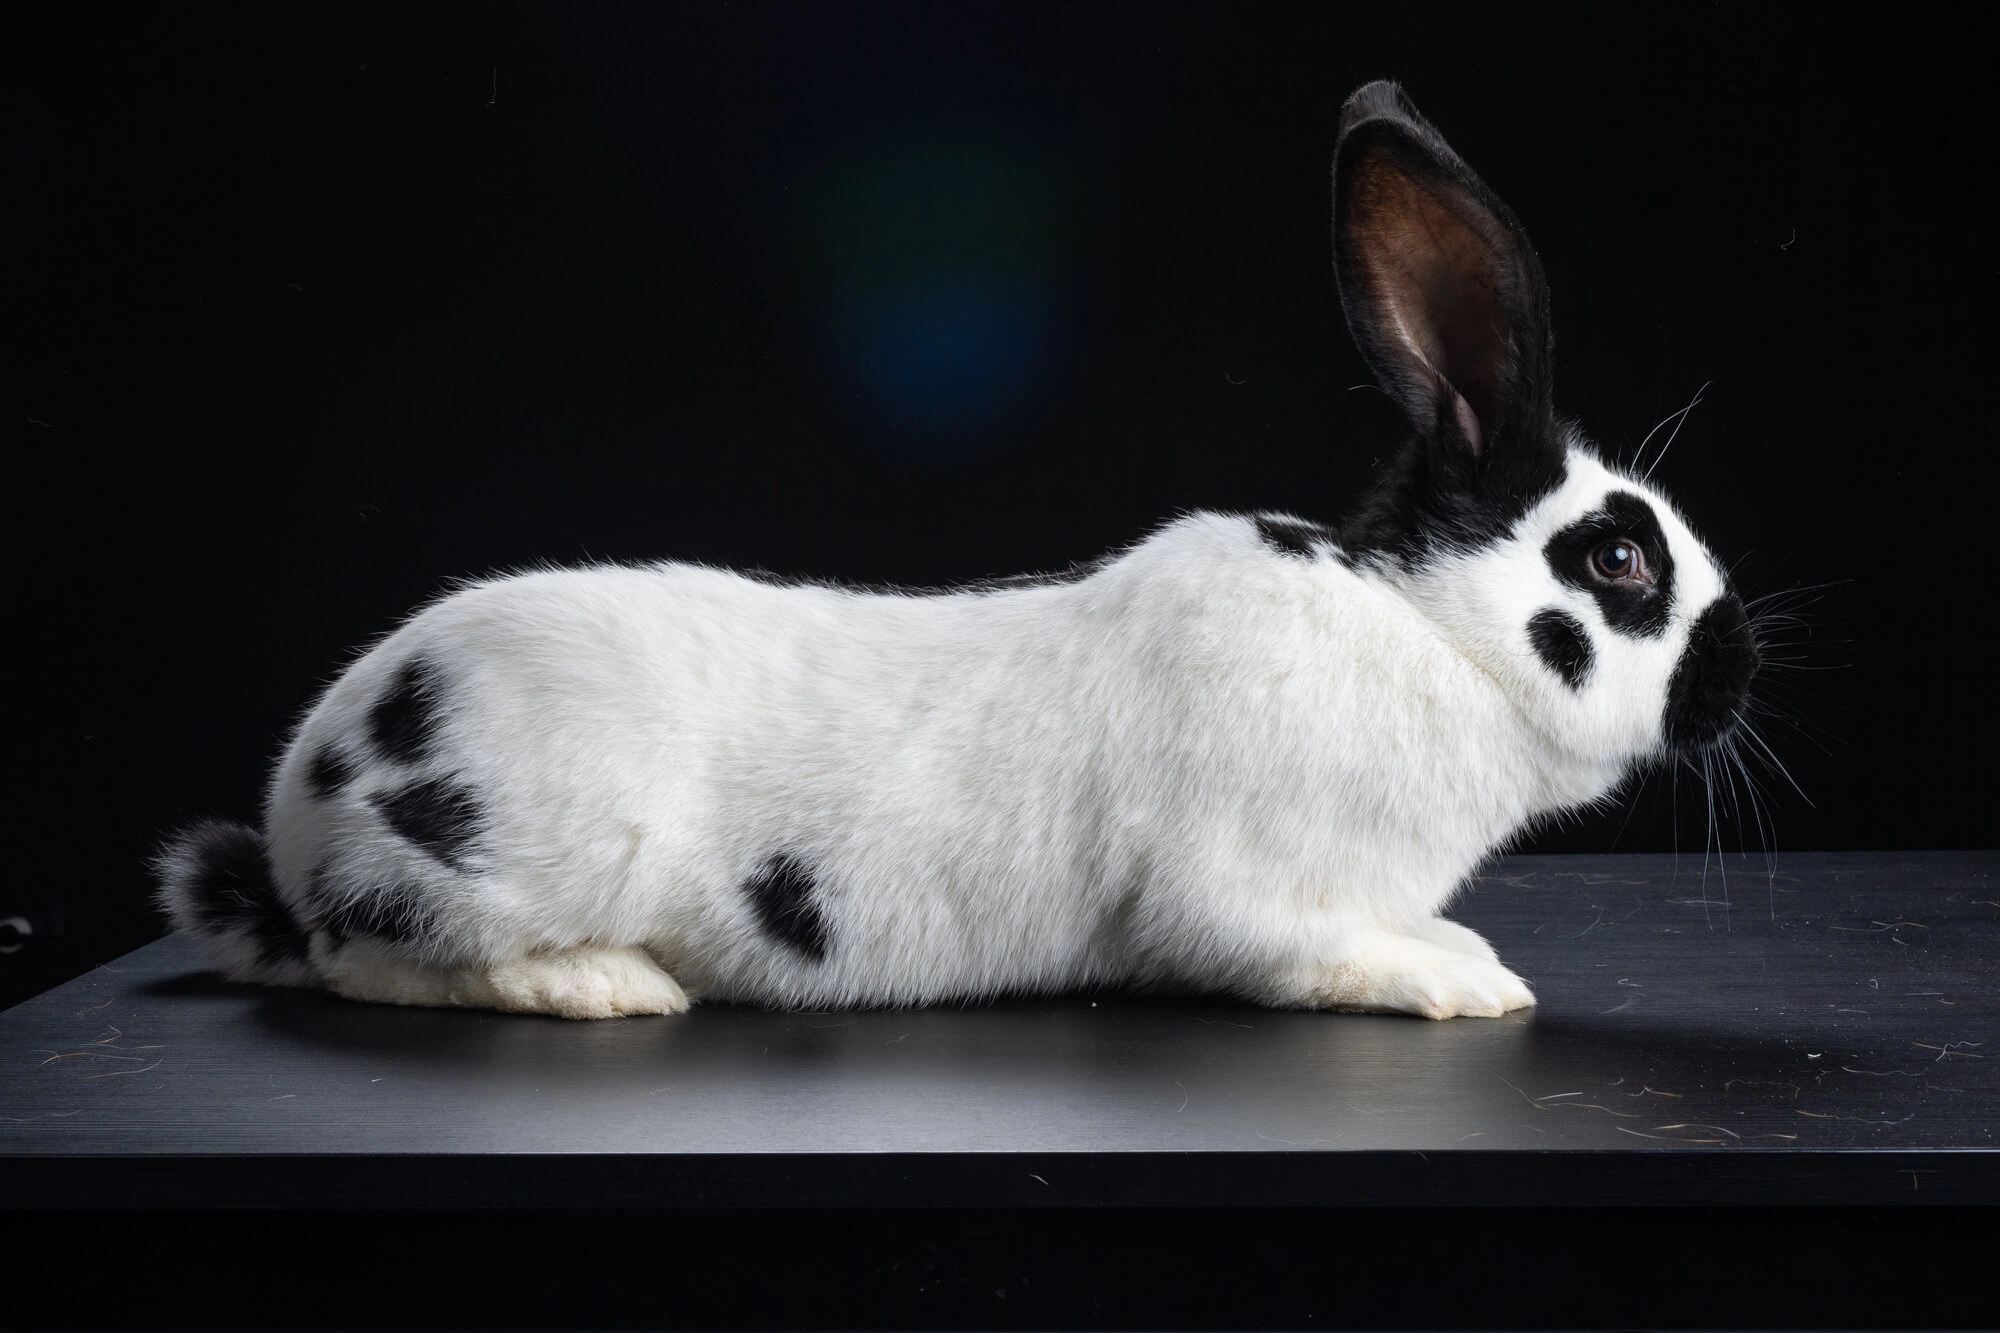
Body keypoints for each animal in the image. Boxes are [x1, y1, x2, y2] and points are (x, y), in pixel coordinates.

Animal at [155, 80, 1760, 1021]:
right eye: (1620, 564)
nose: (1741, 668)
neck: (1428, 635)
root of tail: (305, 798)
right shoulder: (1240, 895)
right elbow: (1308, 952)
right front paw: (1463, 984)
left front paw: (1468, 954)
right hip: (511, 860)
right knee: (376, 961)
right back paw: (609, 988)